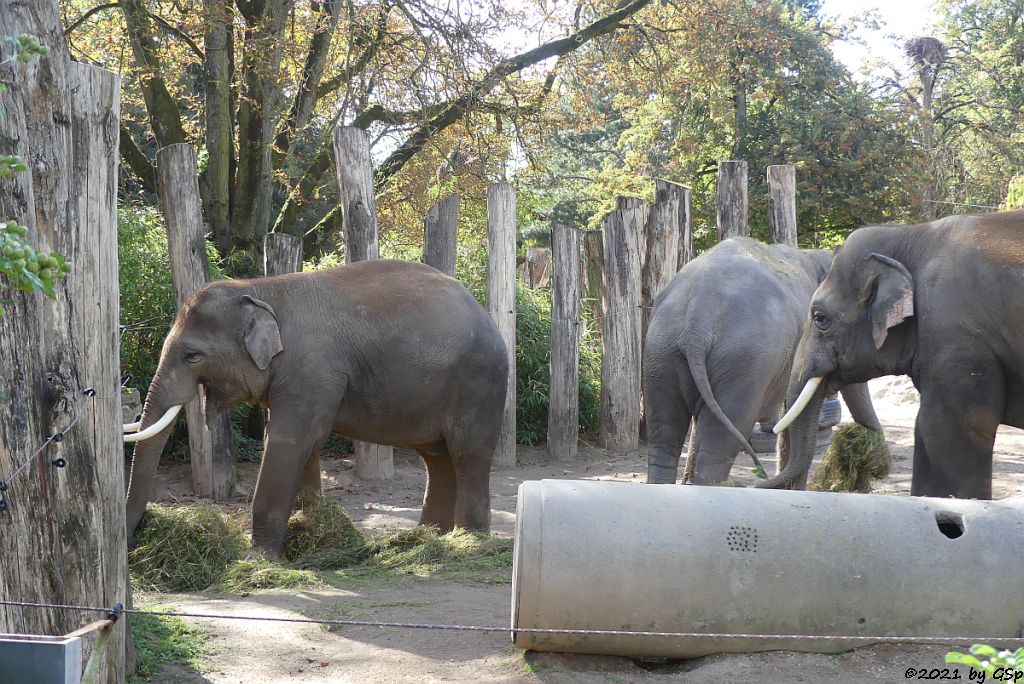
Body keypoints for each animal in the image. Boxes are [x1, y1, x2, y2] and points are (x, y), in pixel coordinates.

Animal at [123, 260, 507, 557]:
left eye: (192, 355)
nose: (134, 540)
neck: (260, 289)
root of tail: (485, 315)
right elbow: (304, 443)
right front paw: (308, 528)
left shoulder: (311, 369)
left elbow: (289, 440)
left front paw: (261, 557)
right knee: (437, 457)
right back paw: (427, 537)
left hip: (479, 384)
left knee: (467, 453)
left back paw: (468, 541)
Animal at [643, 237, 884, 483]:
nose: (876, 466)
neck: (811, 256)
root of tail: (697, 321)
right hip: (742, 366)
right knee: (718, 445)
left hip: (660, 352)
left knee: (664, 436)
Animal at [765, 208, 1024, 497]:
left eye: (820, 318)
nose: (758, 482)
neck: (911, 234)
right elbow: (924, 428)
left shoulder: (958, 343)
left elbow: (952, 428)